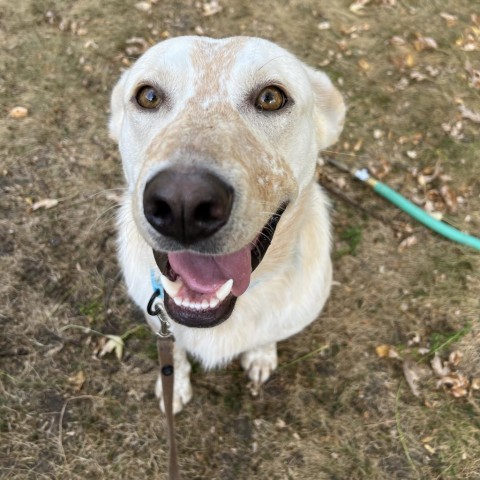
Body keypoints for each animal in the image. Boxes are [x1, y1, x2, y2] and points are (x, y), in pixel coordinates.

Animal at [109, 36, 344, 412]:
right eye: (149, 96)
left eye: (271, 98)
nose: (184, 203)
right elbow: (174, 351)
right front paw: (174, 385)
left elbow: (267, 335)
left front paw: (261, 355)